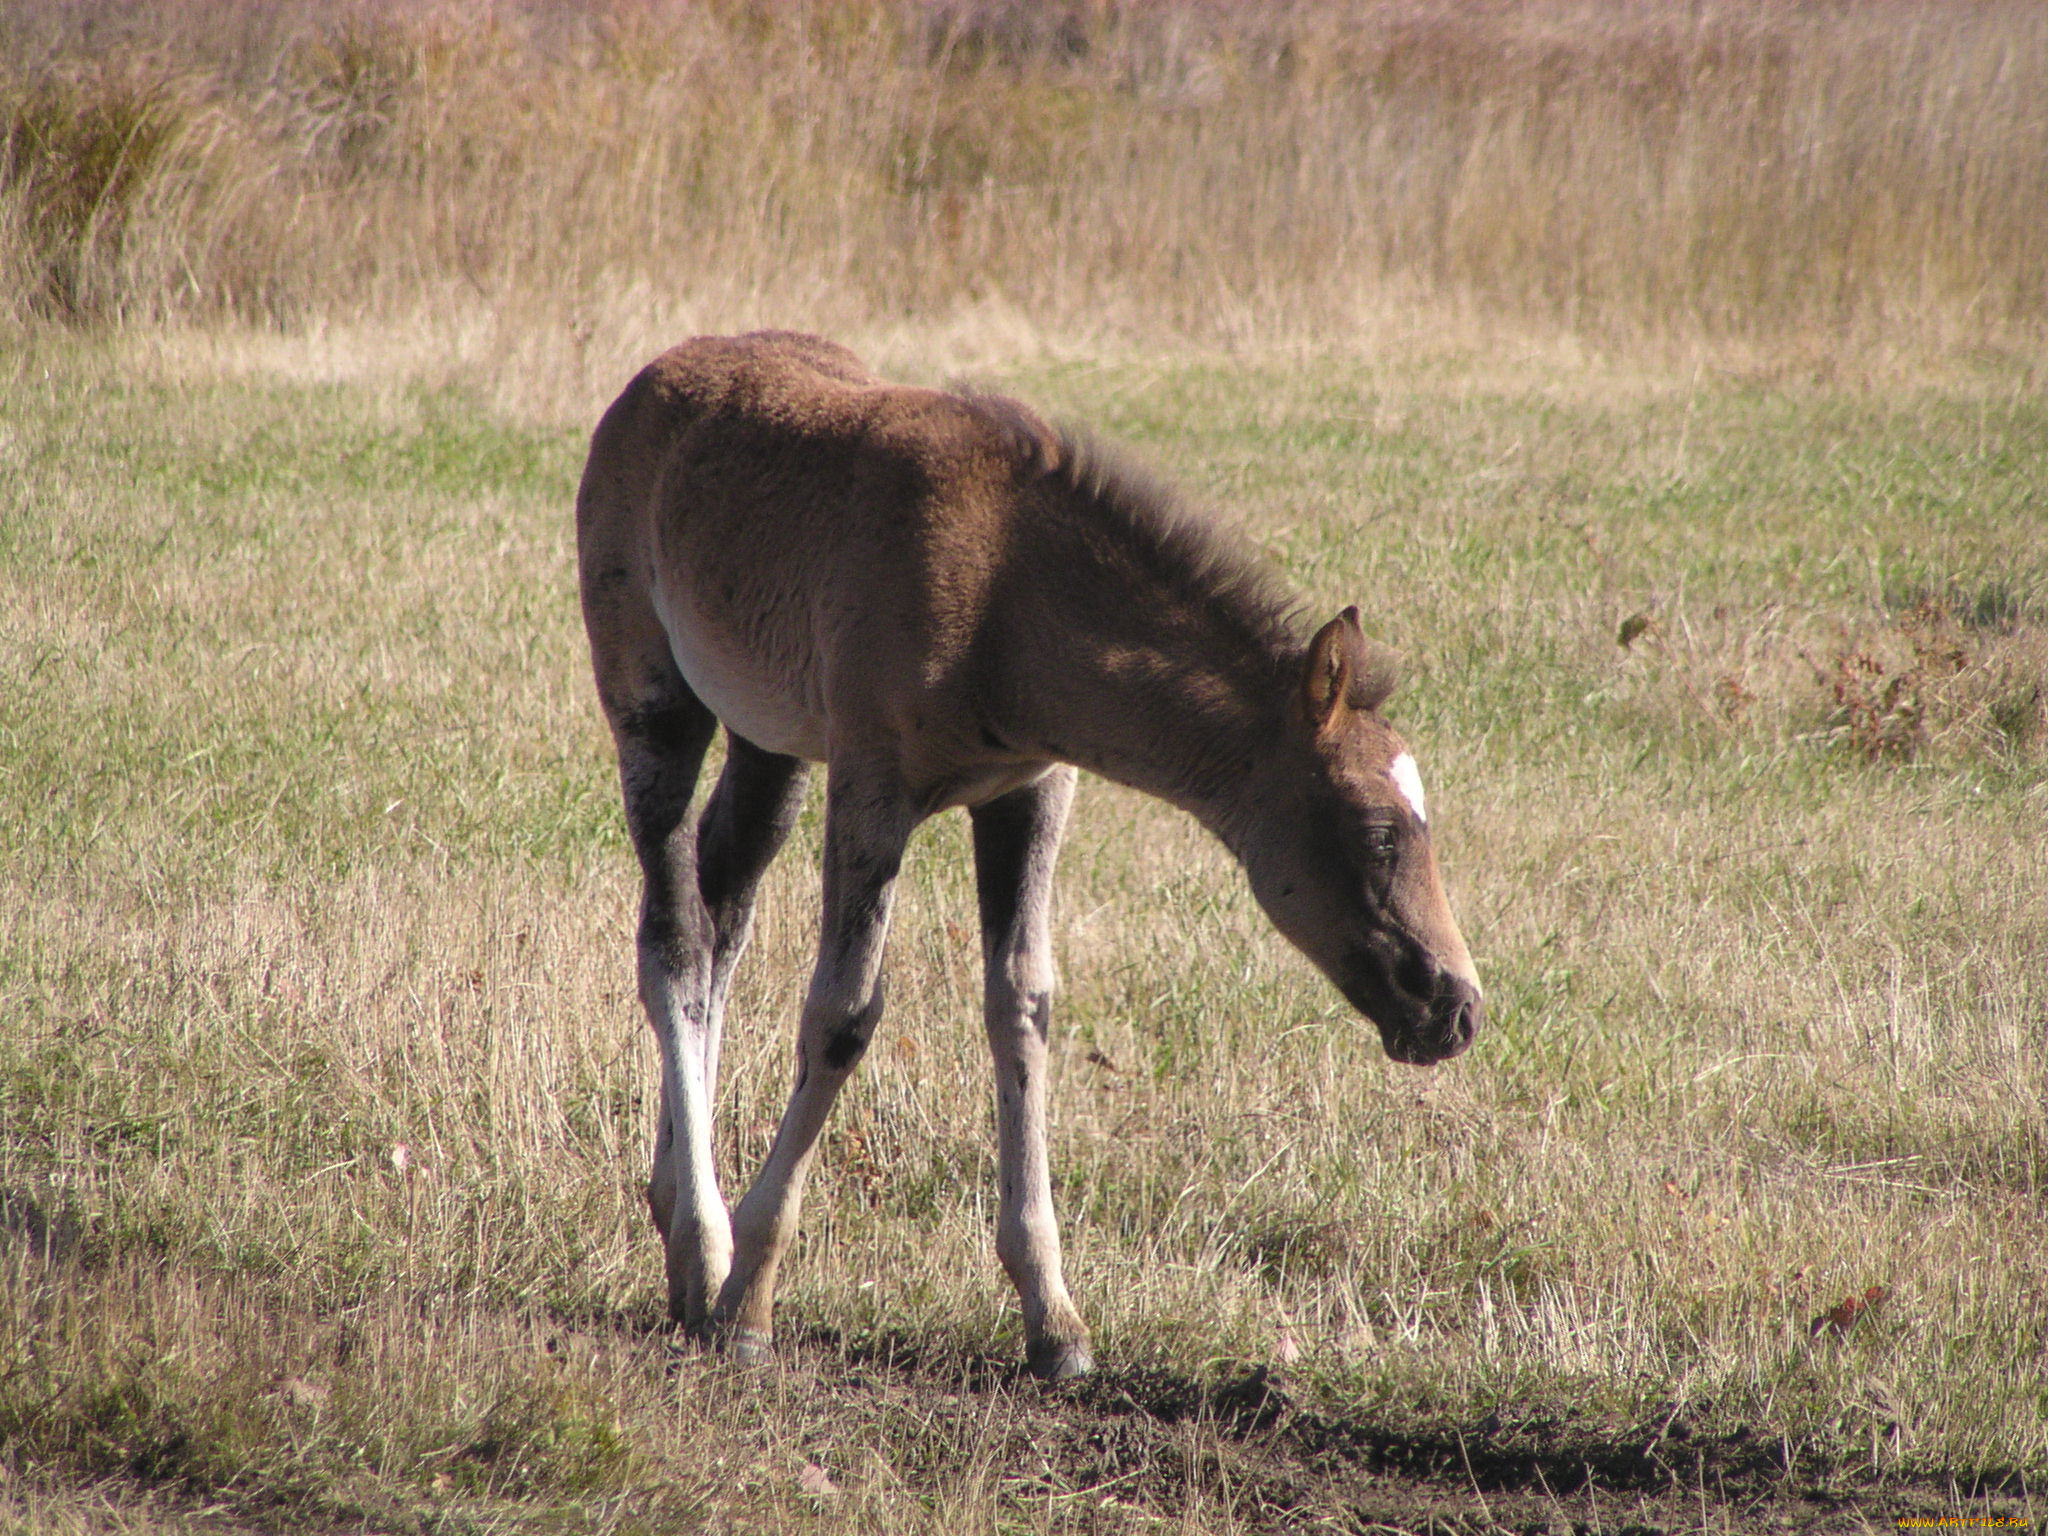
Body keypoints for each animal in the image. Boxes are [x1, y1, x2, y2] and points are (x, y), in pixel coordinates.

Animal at [573, 333, 1474, 1384]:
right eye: (1378, 832)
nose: (1456, 1008)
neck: (1005, 591)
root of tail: (656, 376)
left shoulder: (1030, 792)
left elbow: (1024, 1008)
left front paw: (1055, 1318)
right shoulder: (873, 786)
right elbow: (843, 1016)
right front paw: (750, 1301)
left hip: (772, 741)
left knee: (723, 917)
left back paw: (679, 1228)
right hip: (655, 701)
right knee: (675, 938)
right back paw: (706, 1246)